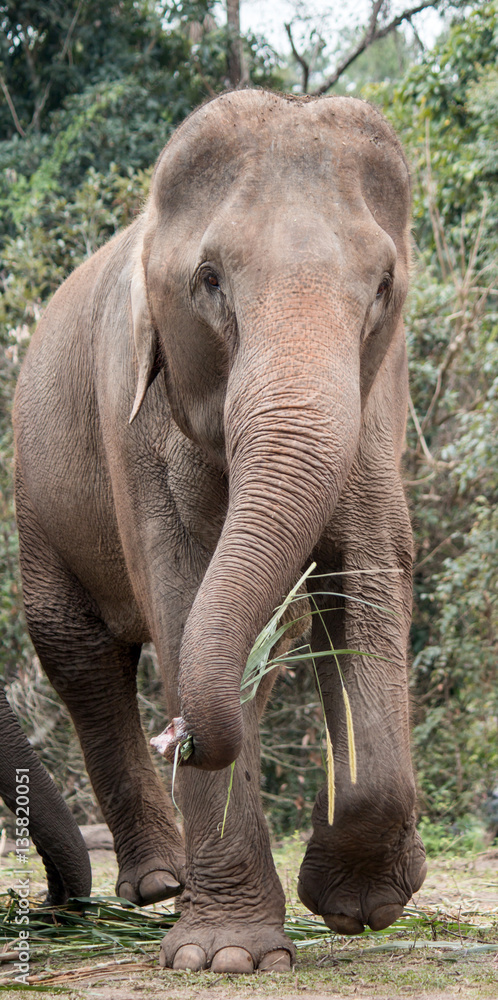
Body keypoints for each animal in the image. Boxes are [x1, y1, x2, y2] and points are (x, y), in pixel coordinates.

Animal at [13, 89, 427, 972]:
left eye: (383, 285)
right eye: (208, 280)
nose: (184, 739)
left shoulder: (379, 398)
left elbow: (369, 569)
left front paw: (361, 906)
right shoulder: (130, 417)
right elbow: (181, 590)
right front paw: (227, 958)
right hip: (36, 491)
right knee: (79, 651)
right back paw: (161, 885)